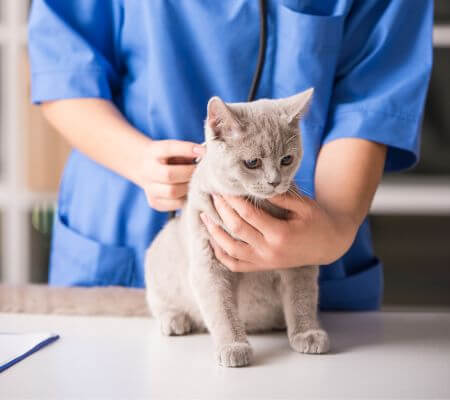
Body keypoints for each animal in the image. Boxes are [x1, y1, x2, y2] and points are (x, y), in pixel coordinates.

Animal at [146, 89, 328, 368]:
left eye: (287, 159)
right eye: (252, 162)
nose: (275, 182)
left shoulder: (300, 256)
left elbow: (302, 298)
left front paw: (308, 334)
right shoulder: (207, 259)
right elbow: (221, 308)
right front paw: (233, 346)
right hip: (159, 255)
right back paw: (174, 319)